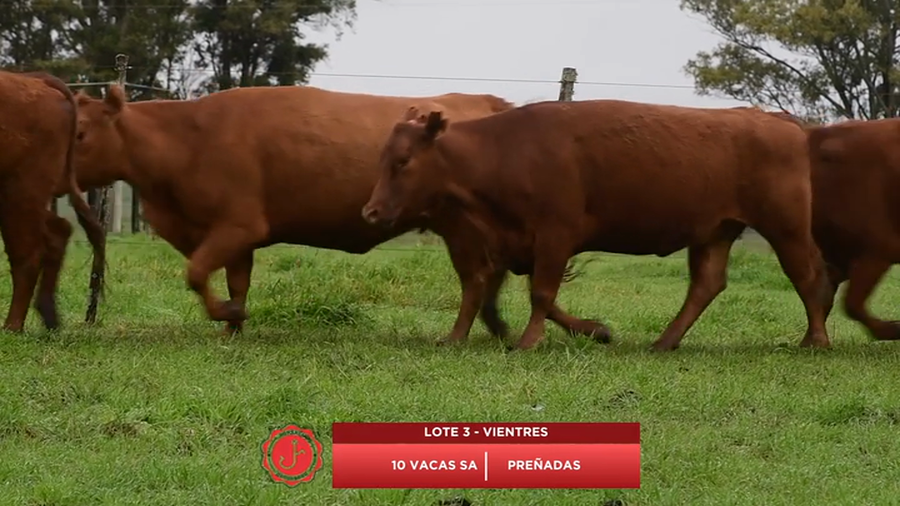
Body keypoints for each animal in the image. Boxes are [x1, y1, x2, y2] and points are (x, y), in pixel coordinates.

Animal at [0, 70, 106, 332]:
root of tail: (37, 79)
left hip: (21, 193)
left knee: (27, 255)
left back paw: (12, 327)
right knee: (58, 231)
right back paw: (49, 316)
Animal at [70, 84, 603, 343]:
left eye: (80, 133)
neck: (188, 136)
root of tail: (481, 101)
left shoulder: (237, 225)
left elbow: (198, 274)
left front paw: (228, 315)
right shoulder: (237, 237)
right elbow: (234, 281)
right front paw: (232, 328)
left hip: (462, 229)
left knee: (481, 280)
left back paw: (460, 337)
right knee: (507, 280)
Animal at [361, 99, 833, 351]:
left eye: (403, 161)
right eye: (382, 158)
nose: (370, 212)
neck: (506, 151)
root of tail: (775, 118)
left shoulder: (555, 236)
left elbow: (540, 294)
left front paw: (529, 341)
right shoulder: (515, 245)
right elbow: (511, 294)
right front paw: (596, 330)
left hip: (785, 228)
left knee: (806, 275)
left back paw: (816, 340)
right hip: (714, 232)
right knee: (707, 284)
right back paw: (664, 342)